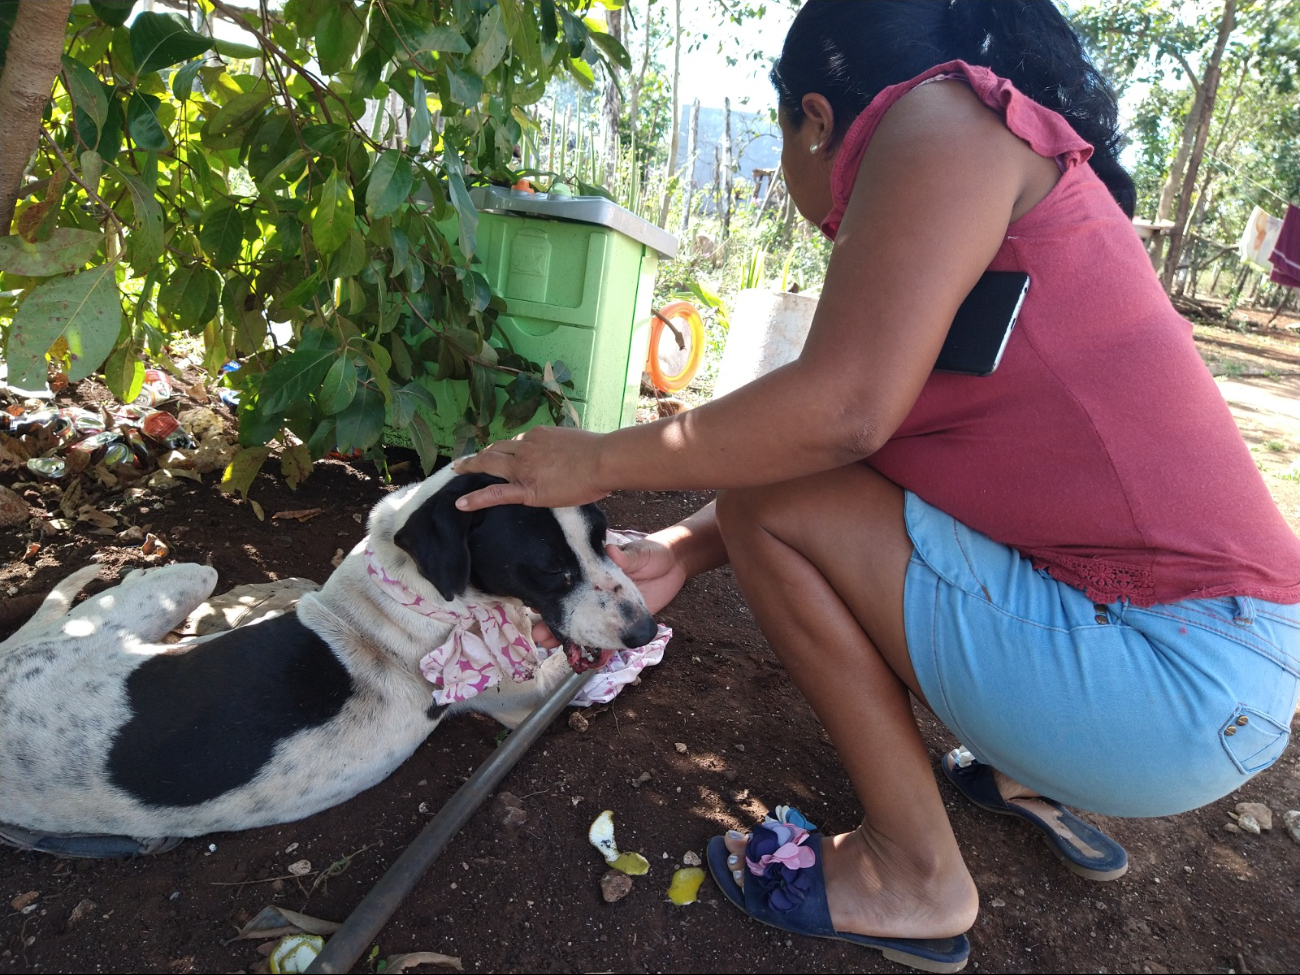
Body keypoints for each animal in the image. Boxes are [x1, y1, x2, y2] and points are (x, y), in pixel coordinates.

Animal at [0, 473, 655, 852]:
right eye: (550, 570)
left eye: (600, 537)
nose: (645, 628)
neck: (395, 591)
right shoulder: (526, 696)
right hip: (184, 577)